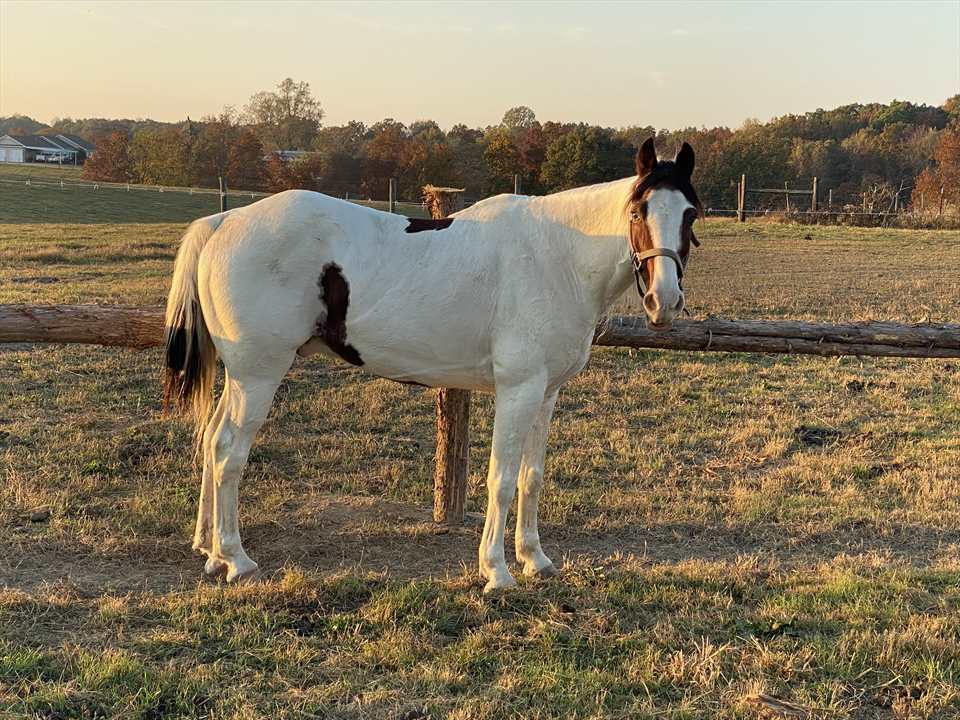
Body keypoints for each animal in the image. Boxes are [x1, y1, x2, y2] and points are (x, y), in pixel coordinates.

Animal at [162, 137, 702, 593]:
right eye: (638, 210)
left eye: (690, 215)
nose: (664, 301)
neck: (556, 256)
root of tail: (225, 221)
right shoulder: (519, 389)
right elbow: (501, 479)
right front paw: (496, 571)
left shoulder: (547, 393)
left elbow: (531, 476)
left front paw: (535, 559)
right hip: (259, 375)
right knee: (228, 452)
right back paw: (236, 559)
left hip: (240, 378)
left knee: (211, 441)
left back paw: (209, 551)